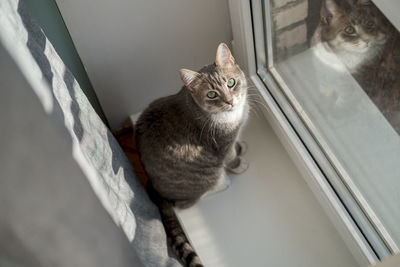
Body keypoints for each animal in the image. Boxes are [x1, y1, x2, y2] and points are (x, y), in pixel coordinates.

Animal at [134, 43, 248, 266]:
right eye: (212, 95)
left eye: (231, 83)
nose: (230, 102)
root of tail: (155, 189)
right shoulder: (222, 146)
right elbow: (231, 159)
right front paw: (241, 165)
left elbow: (237, 144)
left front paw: (243, 145)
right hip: (205, 174)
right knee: (186, 203)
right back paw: (222, 183)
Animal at [312, 0, 400, 134]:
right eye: (349, 29)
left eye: (370, 24)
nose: (368, 40)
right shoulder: (324, 84)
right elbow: (324, 99)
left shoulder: (351, 92)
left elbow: (339, 111)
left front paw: (333, 121)